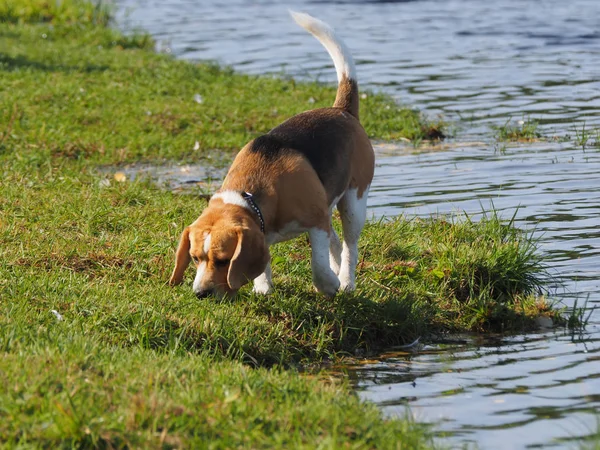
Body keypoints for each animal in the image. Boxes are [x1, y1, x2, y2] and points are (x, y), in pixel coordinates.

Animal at [169, 10, 372, 298]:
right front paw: (263, 287)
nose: (200, 293)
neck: (251, 195)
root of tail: (342, 110)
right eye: (196, 258)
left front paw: (328, 284)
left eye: (223, 261)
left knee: (348, 246)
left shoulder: (317, 221)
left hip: (354, 203)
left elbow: (318, 264)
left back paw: (345, 280)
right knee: (335, 242)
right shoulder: (266, 230)